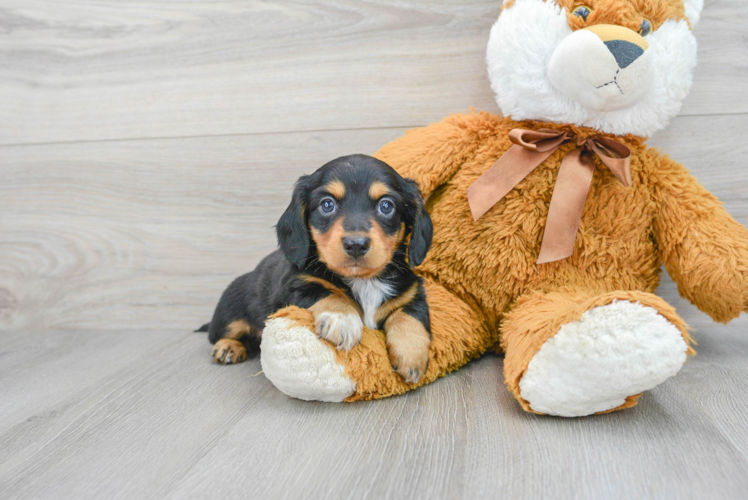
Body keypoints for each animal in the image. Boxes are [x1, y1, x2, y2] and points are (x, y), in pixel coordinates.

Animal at [200, 154, 432, 384]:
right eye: (327, 204)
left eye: (386, 206)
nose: (356, 244)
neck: (363, 280)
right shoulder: (297, 286)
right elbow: (328, 292)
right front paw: (343, 320)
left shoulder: (412, 293)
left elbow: (409, 317)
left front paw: (412, 355)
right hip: (230, 315)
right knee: (219, 334)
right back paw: (228, 347)